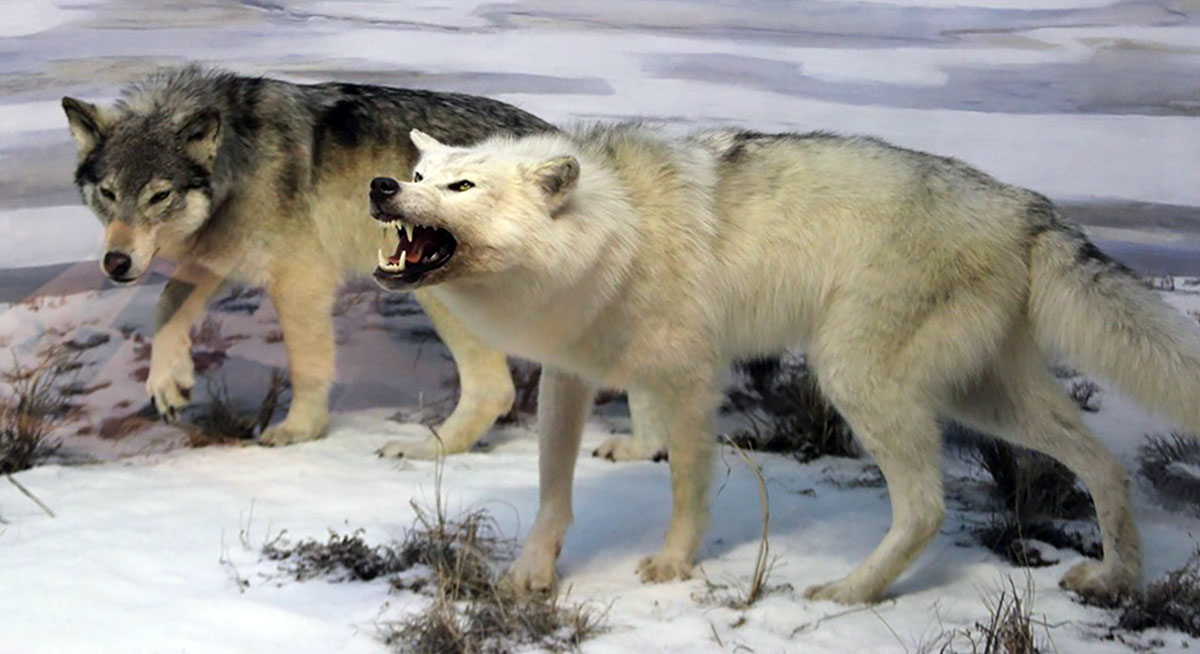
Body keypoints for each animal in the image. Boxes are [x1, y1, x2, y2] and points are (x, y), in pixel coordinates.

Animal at [62, 65, 556, 453]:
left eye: (159, 196)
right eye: (108, 193)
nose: (116, 263)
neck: (238, 158)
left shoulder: (299, 278)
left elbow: (306, 365)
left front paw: (300, 430)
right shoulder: (224, 253)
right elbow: (167, 302)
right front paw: (169, 382)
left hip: (435, 292)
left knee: (494, 389)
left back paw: (424, 451)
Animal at [367, 123, 1200, 605]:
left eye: (462, 187)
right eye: (419, 178)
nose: (381, 186)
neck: (616, 231)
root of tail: (1028, 204)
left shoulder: (691, 380)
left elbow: (686, 489)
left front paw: (673, 565)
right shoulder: (570, 376)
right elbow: (552, 493)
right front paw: (532, 574)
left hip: (857, 378)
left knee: (926, 509)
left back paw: (847, 593)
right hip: (984, 399)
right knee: (1104, 465)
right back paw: (1117, 577)